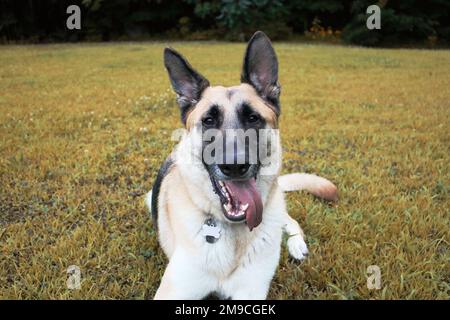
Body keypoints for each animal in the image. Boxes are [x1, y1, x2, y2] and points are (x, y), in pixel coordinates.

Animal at [148, 31, 338, 298]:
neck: (232, 230)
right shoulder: (174, 291)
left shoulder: (251, 291)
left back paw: (296, 244)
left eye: (253, 118)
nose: (235, 166)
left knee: (290, 220)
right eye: (209, 120)